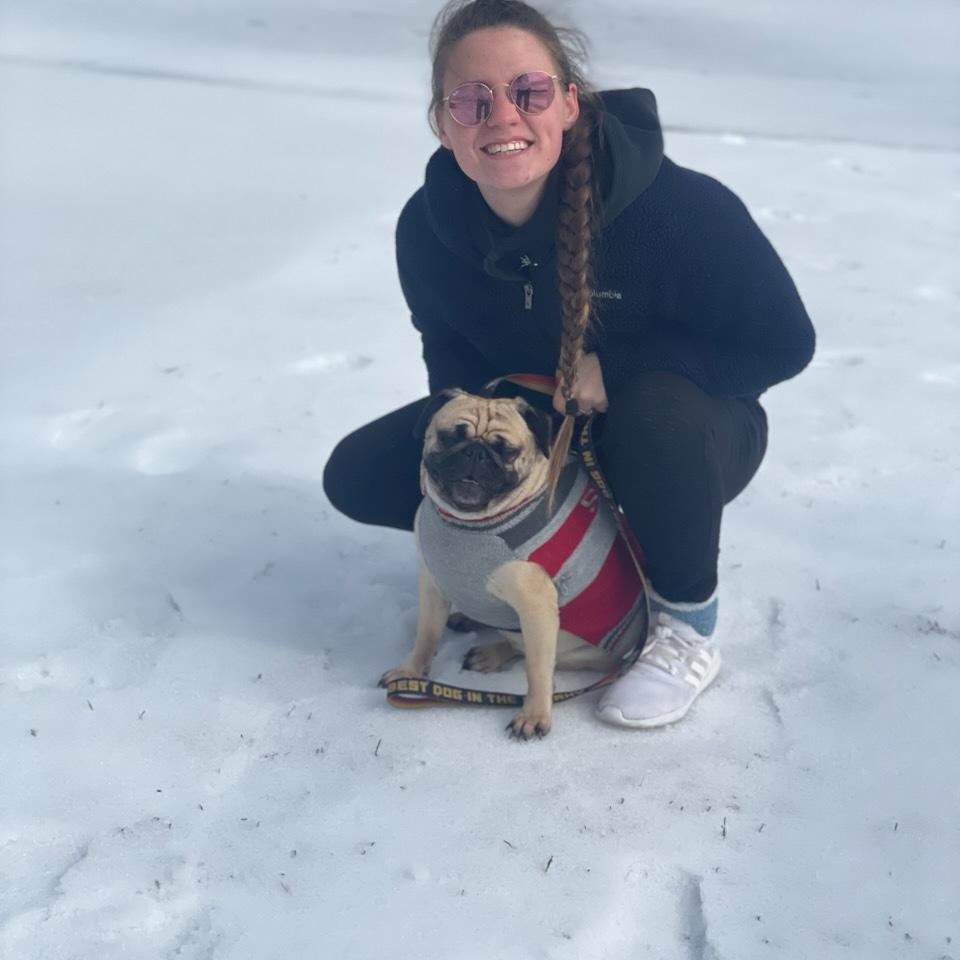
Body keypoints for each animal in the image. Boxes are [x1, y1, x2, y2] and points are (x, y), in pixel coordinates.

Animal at [379, 389, 646, 739]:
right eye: (451, 437)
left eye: (505, 450)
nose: (475, 453)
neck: (469, 523)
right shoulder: (433, 583)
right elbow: (426, 635)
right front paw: (410, 672)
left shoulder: (536, 606)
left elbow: (537, 668)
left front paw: (534, 715)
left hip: (573, 646)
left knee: (532, 650)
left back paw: (491, 653)